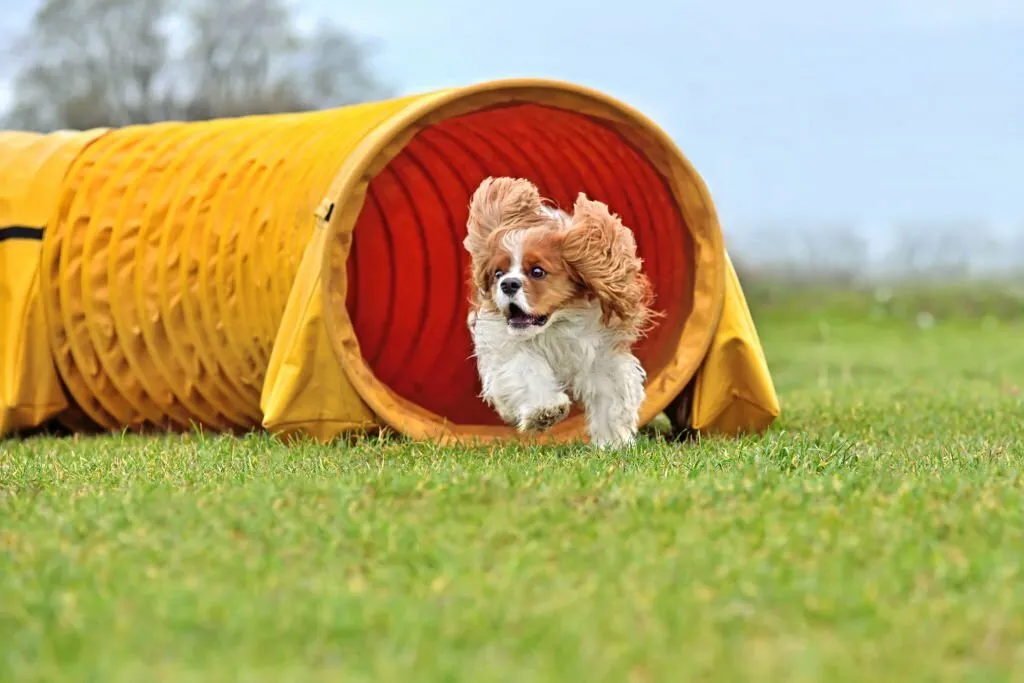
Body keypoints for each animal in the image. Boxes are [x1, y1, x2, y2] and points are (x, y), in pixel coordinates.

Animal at [462, 176, 655, 448]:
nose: (508, 284)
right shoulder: (510, 349)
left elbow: (610, 396)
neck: (557, 325)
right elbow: (527, 373)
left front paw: (613, 443)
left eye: (537, 271)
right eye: (498, 273)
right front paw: (546, 411)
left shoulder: (601, 355)